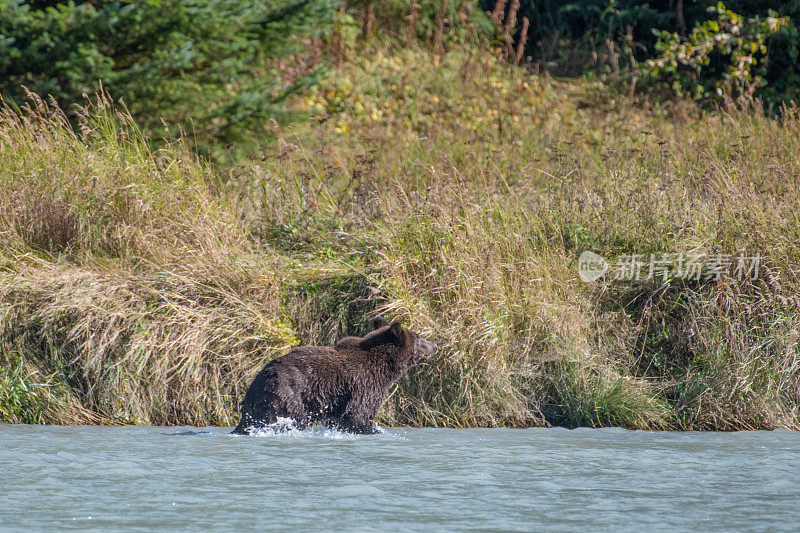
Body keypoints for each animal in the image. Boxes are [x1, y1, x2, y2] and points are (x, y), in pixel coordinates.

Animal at [231, 316, 438, 432]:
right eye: (418, 337)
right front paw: (373, 429)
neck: (386, 367)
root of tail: (256, 386)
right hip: (287, 397)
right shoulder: (365, 385)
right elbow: (359, 416)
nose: (434, 345)